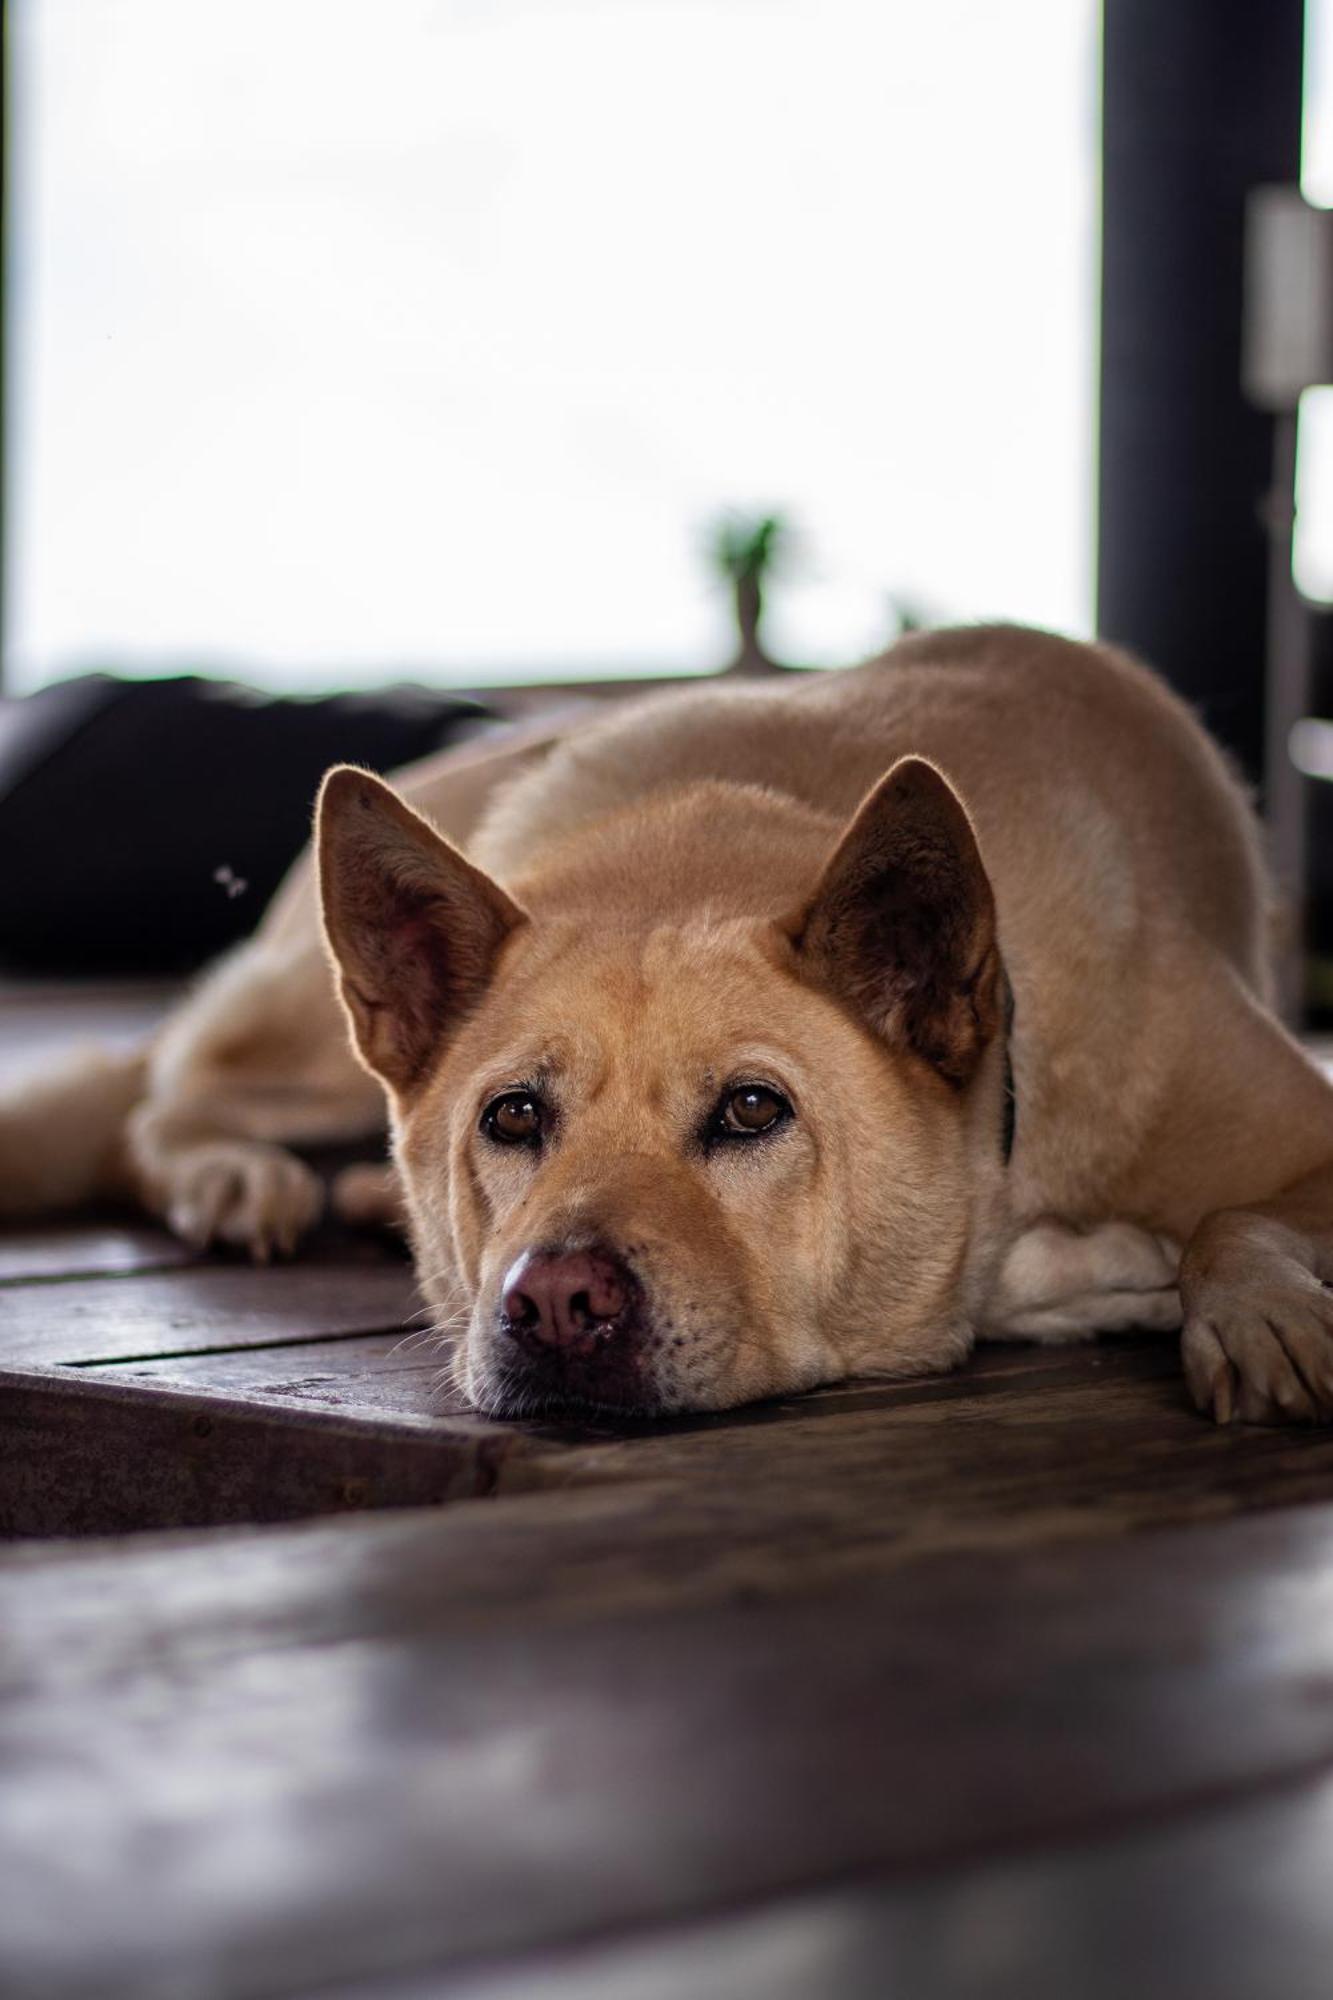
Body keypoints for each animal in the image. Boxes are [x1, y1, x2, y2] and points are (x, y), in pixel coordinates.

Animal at [2, 624, 1328, 1424]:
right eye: (512, 1116)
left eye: (750, 1109)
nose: (553, 1302)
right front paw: (1112, 1279)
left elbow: (1229, 1218)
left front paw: (1252, 1306)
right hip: (306, 1047)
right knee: (165, 1085)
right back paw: (234, 1175)